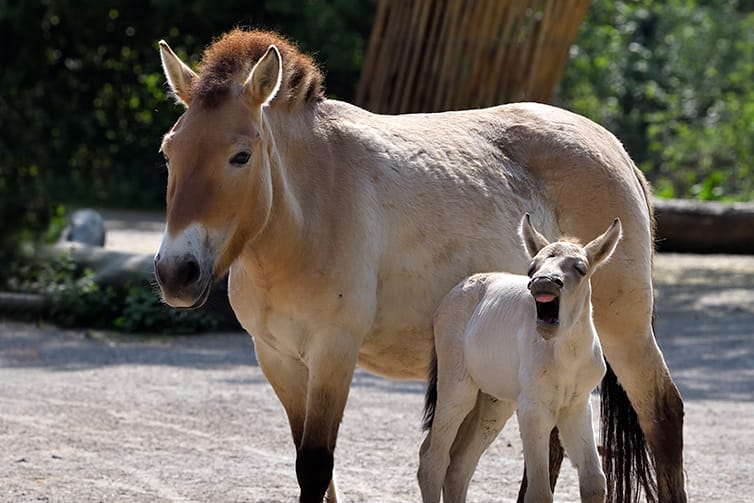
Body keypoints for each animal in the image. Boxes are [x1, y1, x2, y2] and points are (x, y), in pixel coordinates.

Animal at [414, 215, 620, 502]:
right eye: (532, 267)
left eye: (580, 268)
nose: (544, 282)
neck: (566, 356)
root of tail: (453, 294)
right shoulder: (533, 410)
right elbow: (539, 491)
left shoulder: (576, 407)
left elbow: (594, 482)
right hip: (458, 391)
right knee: (433, 459)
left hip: (494, 405)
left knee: (459, 466)